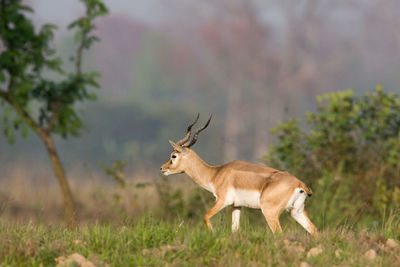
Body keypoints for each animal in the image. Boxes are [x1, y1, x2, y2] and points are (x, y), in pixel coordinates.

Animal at [159, 114, 318, 236]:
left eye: (173, 156)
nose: (162, 168)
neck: (215, 174)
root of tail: (299, 184)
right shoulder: (237, 206)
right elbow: (234, 230)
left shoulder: (222, 201)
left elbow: (206, 216)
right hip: (296, 211)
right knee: (314, 230)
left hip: (270, 212)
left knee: (279, 234)